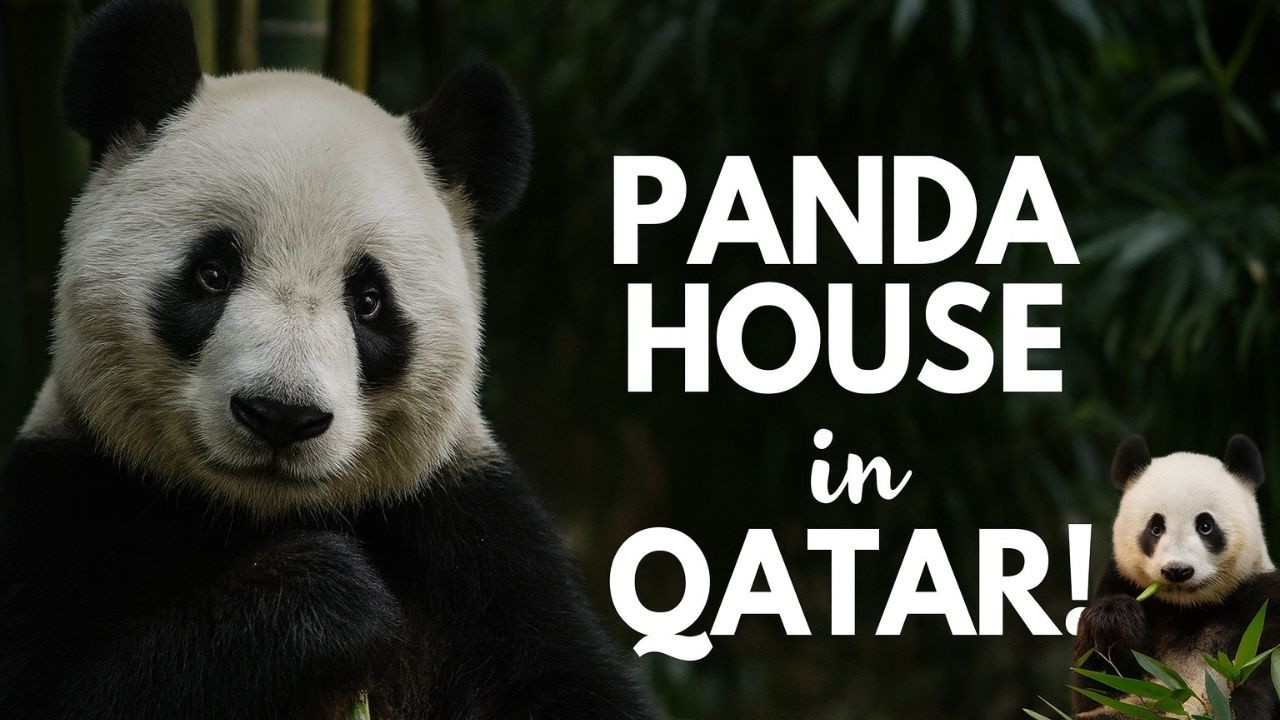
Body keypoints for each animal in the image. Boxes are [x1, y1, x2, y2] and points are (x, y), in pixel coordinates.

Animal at [0, 1, 654, 719]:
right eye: (211, 274)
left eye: (368, 301)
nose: (280, 416)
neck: (261, 514)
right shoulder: (69, 506)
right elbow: (75, 686)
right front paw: (326, 602)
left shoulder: (473, 541)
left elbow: (557, 678)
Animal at [1073, 434, 1280, 719]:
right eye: (1155, 528)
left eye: (1205, 525)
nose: (1177, 570)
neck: (1189, 608)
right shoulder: (1118, 582)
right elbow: (1096, 688)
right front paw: (1113, 618)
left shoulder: (1261, 600)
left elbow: (1265, 670)